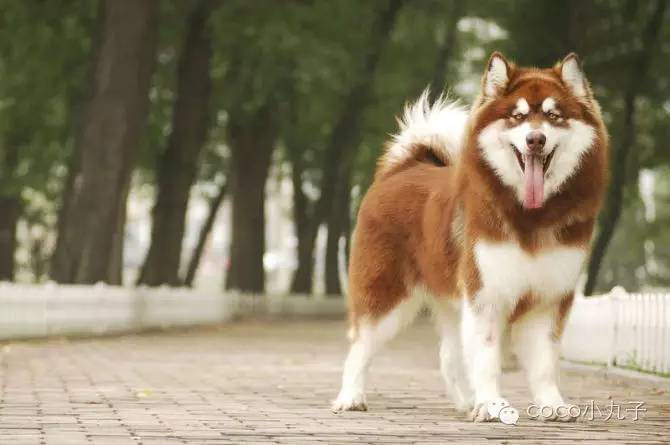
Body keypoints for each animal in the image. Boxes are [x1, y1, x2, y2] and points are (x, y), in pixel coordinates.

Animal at [334, 52, 612, 420]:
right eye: (517, 116)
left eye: (553, 116)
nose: (535, 139)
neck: (530, 215)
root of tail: (403, 168)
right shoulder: (486, 294)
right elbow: (487, 358)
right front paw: (492, 404)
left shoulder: (548, 297)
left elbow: (543, 363)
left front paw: (551, 404)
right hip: (387, 296)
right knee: (360, 346)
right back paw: (350, 397)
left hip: (452, 301)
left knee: (448, 357)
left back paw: (465, 404)